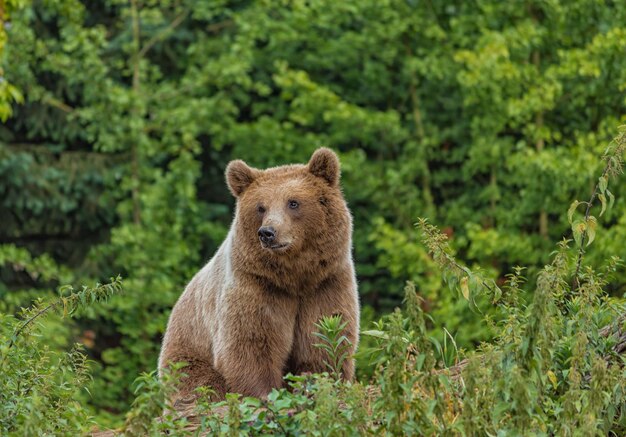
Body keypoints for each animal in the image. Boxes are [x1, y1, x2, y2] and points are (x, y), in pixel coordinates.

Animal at [158, 148, 358, 400]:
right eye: (261, 207)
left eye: (293, 202)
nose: (267, 232)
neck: (295, 277)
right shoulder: (256, 283)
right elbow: (251, 342)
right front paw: (264, 393)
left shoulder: (326, 283)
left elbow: (323, 338)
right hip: (186, 354)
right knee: (200, 384)